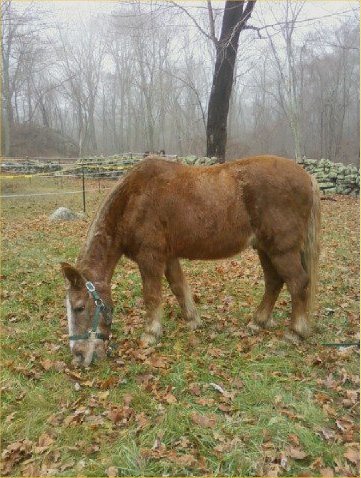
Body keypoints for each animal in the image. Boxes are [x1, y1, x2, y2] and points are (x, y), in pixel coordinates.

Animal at [60, 155, 320, 368]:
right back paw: (258, 322)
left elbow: (152, 296)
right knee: (274, 282)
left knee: (297, 283)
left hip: (282, 251)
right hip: (265, 249)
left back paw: (295, 332)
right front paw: (193, 321)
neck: (134, 199)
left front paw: (150, 334)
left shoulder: (150, 258)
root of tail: (306, 176)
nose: (78, 358)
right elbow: (179, 288)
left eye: (79, 307)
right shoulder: (169, 257)